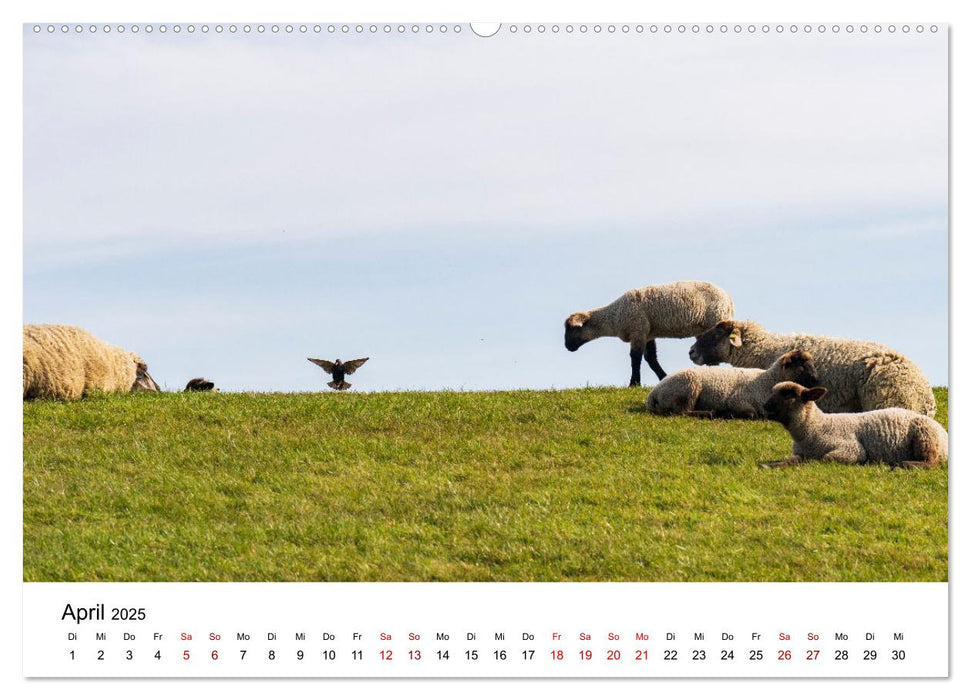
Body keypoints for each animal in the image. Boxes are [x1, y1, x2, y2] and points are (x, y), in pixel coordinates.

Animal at [564, 280, 732, 388]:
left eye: (572, 328)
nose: (567, 347)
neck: (614, 316)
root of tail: (729, 300)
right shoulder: (647, 333)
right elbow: (651, 359)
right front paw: (663, 377)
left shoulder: (638, 330)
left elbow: (635, 358)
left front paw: (634, 384)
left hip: (715, 319)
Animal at [644, 348, 820, 418]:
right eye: (801, 364)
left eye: (812, 363)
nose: (816, 379)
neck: (768, 380)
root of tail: (654, 393)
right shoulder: (738, 400)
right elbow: (751, 414)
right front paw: (728, 413)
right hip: (688, 388)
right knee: (682, 412)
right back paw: (710, 413)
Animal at [760, 382, 948, 470]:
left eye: (789, 395)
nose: (765, 407)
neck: (815, 428)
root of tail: (943, 432)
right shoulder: (800, 452)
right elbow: (792, 459)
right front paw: (771, 465)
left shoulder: (852, 450)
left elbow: (823, 458)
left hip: (926, 437)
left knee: (932, 462)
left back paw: (901, 464)